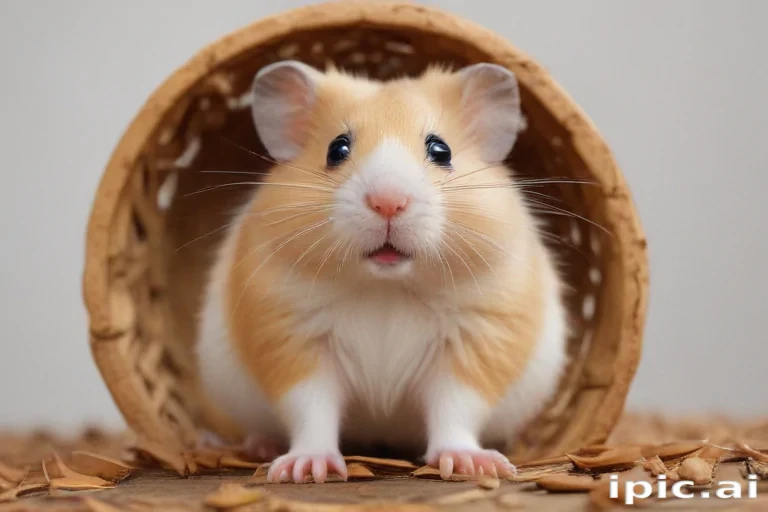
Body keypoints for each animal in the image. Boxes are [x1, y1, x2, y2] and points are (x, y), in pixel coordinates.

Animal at [195, 60, 568, 484]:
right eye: (337, 149)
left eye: (441, 150)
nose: (388, 202)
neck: (386, 286)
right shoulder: (292, 338)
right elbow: (312, 409)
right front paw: (306, 468)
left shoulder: (474, 342)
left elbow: (455, 408)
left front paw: (470, 463)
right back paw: (256, 446)